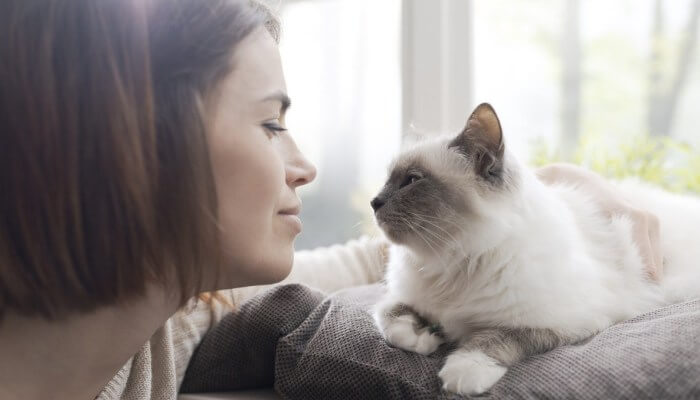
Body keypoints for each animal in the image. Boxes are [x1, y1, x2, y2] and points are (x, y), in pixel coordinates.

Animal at [372, 101, 700, 396]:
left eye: (411, 180)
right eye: (388, 180)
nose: (374, 202)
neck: (451, 261)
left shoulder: (557, 322)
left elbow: (495, 338)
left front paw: (463, 371)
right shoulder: (404, 299)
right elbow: (392, 322)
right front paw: (424, 339)